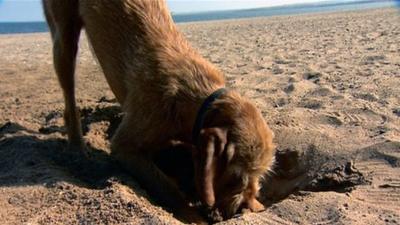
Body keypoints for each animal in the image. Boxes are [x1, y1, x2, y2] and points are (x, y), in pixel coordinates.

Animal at [43, 0, 276, 223]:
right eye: (237, 179)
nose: (254, 209)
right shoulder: (126, 144)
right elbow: (166, 186)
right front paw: (194, 217)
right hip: (64, 33)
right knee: (68, 89)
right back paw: (77, 146)